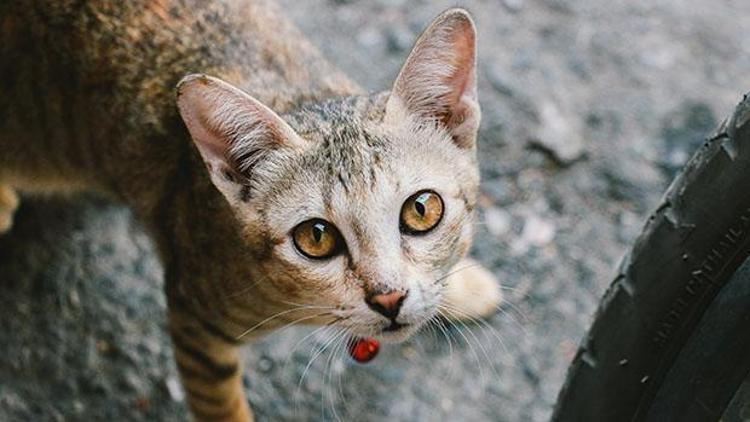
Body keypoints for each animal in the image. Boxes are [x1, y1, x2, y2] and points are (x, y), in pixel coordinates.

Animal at [1, 1, 506, 420]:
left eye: (421, 210)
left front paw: (461, 286)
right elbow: (220, 404)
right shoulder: (194, 316)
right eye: (316, 237)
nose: (388, 298)